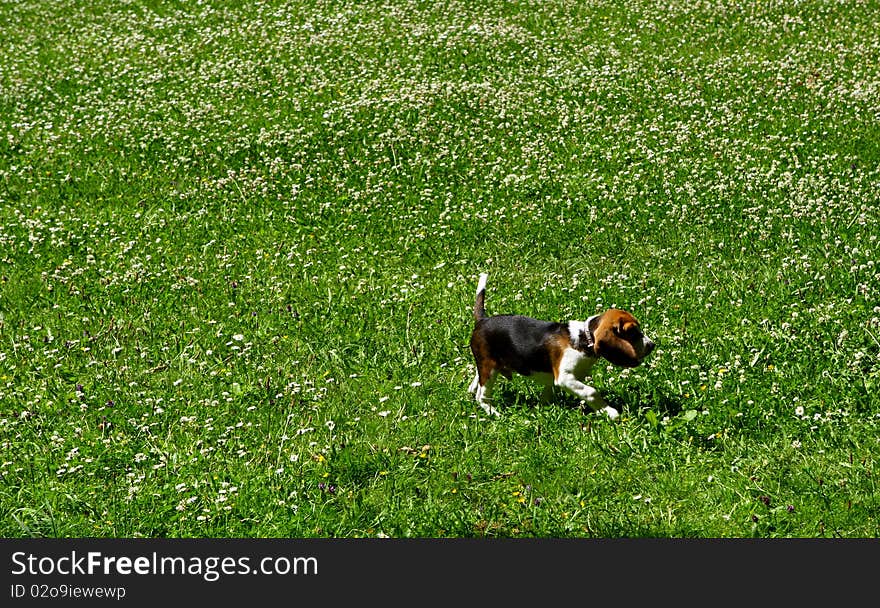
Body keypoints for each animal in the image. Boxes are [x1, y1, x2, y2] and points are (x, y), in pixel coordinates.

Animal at [468, 274, 652, 420]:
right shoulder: (565, 378)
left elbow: (549, 392)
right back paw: (494, 413)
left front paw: (544, 407)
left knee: (477, 380)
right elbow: (591, 392)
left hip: (486, 364)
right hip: (489, 368)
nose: (652, 345)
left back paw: (472, 389)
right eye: (632, 332)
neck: (585, 338)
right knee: (481, 396)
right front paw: (609, 411)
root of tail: (482, 320)